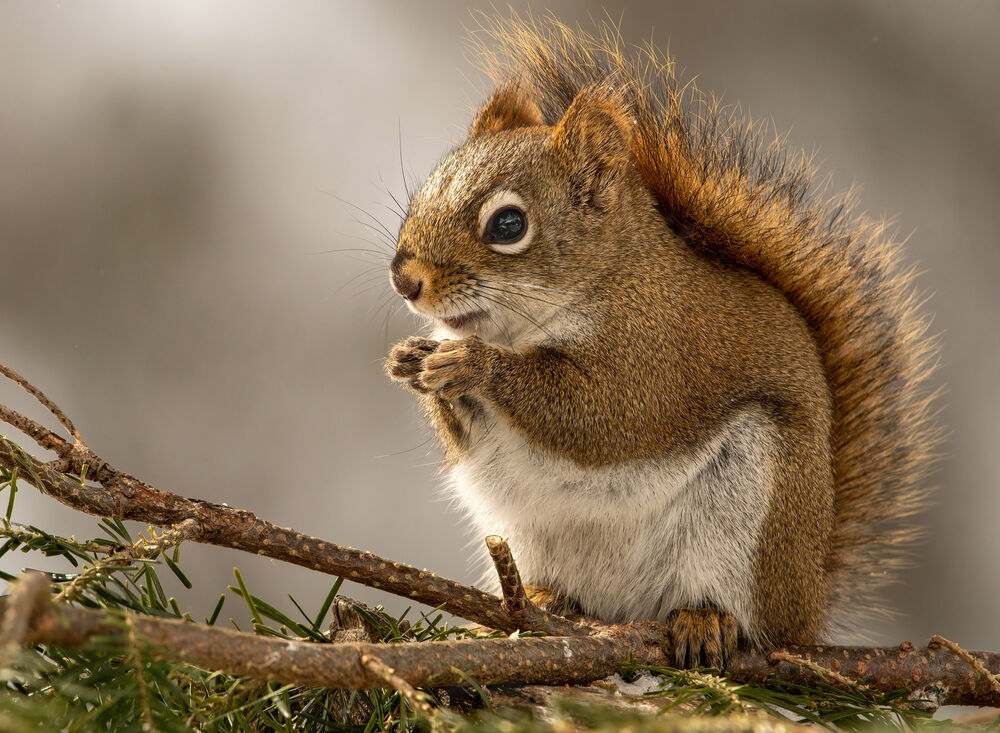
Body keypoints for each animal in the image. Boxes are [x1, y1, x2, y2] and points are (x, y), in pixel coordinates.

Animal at [380, 14, 936, 668]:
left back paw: (705, 621)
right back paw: (538, 601)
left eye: (508, 225)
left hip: (751, 518)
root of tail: (808, 609)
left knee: (738, 610)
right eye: (421, 193)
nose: (405, 279)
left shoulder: (660, 352)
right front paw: (410, 361)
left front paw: (476, 364)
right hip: (527, 533)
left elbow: (604, 415)